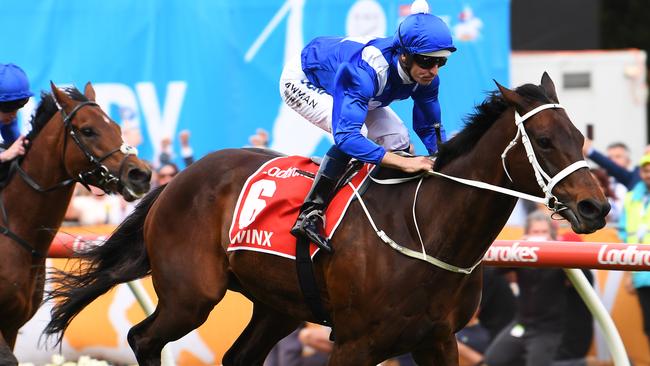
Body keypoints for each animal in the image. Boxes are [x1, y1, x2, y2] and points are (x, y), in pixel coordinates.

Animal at [45, 73, 608, 364]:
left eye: (580, 136)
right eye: (544, 141)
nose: (596, 207)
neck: (429, 230)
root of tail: (176, 180)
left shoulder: (438, 340)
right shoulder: (356, 343)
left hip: (278, 305)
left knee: (236, 356)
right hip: (192, 295)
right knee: (143, 339)